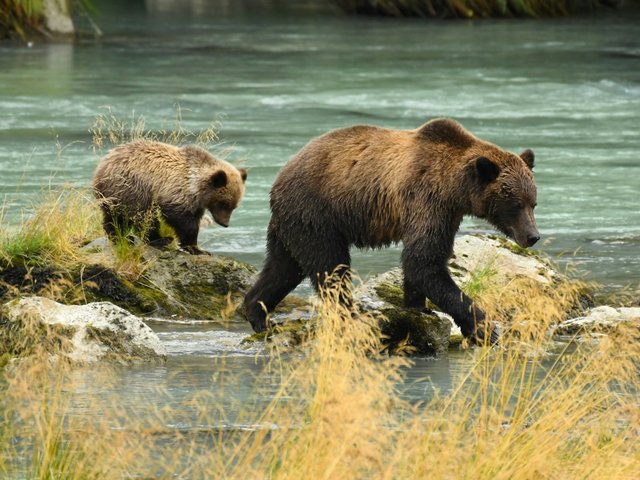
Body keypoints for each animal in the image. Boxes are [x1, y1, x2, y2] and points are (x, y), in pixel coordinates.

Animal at [245, 118, 540, 342]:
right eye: (515, 204)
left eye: (533, 202)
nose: (533, 236)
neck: (455, 188)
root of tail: (278, 179)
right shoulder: (427, 198)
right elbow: (424, 261)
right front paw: (484, 327)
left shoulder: (446, 213)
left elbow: (421, 262)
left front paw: (419, 307)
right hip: (317, 214)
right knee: (330, 267)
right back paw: (351, 314)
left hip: (292, 225)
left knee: (283, 268)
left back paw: (259, 314)